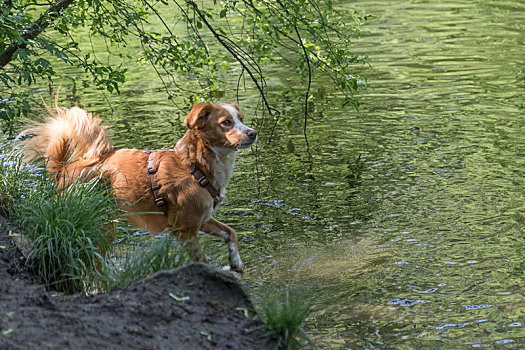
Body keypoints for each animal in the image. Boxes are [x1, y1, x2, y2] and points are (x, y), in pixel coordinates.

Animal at [19, 104, 256, 274]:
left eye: (241, 119)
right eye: (226, 122)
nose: (252, 133)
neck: (194, 166)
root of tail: (64, 169)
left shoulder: (204, 219)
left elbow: (231, 233)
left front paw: (236, 262)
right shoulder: (185, 231)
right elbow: (204, 261)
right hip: (99, 227)